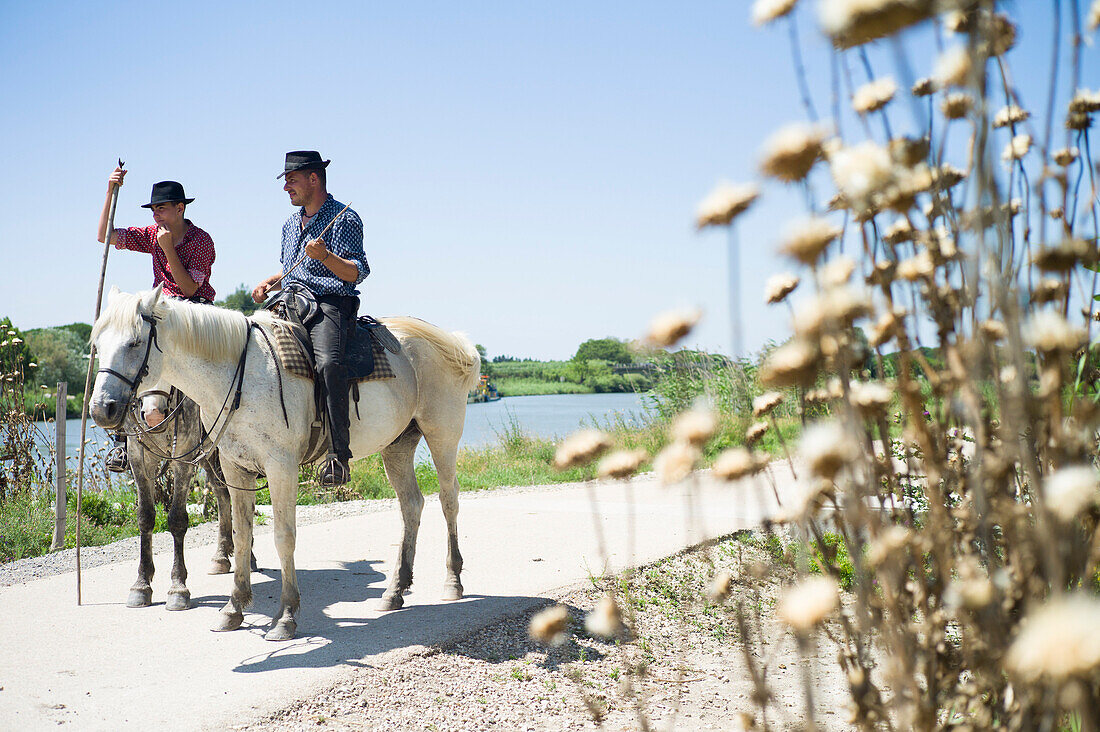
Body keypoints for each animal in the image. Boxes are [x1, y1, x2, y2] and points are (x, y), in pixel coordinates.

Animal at [89, 286, 477, 638]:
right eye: (97, 345)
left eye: (135, 343)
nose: (102, 409)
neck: (241, 376)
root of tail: (451, 343)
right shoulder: (236, 468)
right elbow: (242, 532)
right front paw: (233, 609)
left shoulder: (280, 468)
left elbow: (283, 536)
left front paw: (287, 616)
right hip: (397, 445)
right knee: (411, 504)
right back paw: (395, 591)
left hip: (442, 436)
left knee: (448, 500)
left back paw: (452, 581)